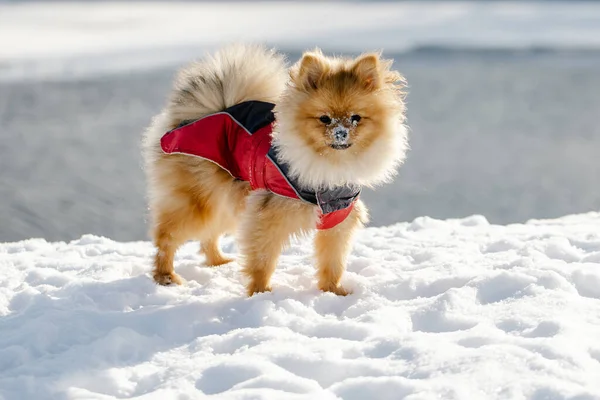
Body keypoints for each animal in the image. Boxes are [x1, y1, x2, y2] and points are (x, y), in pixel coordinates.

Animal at [143, 43, 410, 296]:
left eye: (355, 118)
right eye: (324, 119)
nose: (341, 133)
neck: (328, 166)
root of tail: (210, 110)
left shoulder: (338, 217)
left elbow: (332, 262)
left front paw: (333, 291)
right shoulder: (268, 214)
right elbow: (263, 259)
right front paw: (260, 292)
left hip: (228, 199)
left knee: (209, 234)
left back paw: (218, 262)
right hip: (199, 202)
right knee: (166, 238)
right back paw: (165, 276)